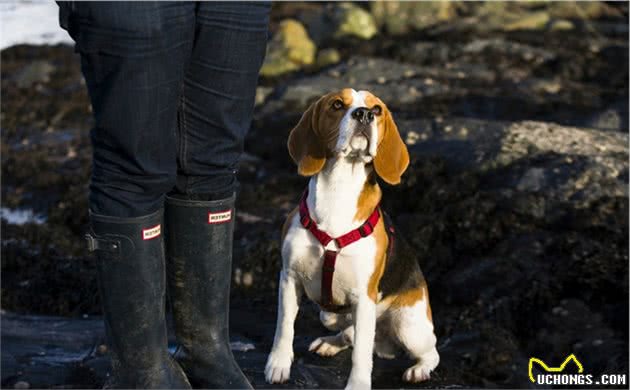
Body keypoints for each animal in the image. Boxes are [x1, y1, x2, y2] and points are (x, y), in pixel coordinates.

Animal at [266, 89, 440, 390]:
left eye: (377, 109)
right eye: (337, 104)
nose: (364, 114)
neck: (340, 188)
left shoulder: (364, 296)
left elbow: (361, 354)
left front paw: (357, 384)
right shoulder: (289, 278)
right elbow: (284, 326)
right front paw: (278, 364)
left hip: (409, 326)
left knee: (432, 351)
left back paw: (419, 370)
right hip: (330, 314)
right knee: (345, 329)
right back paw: (330, 342)